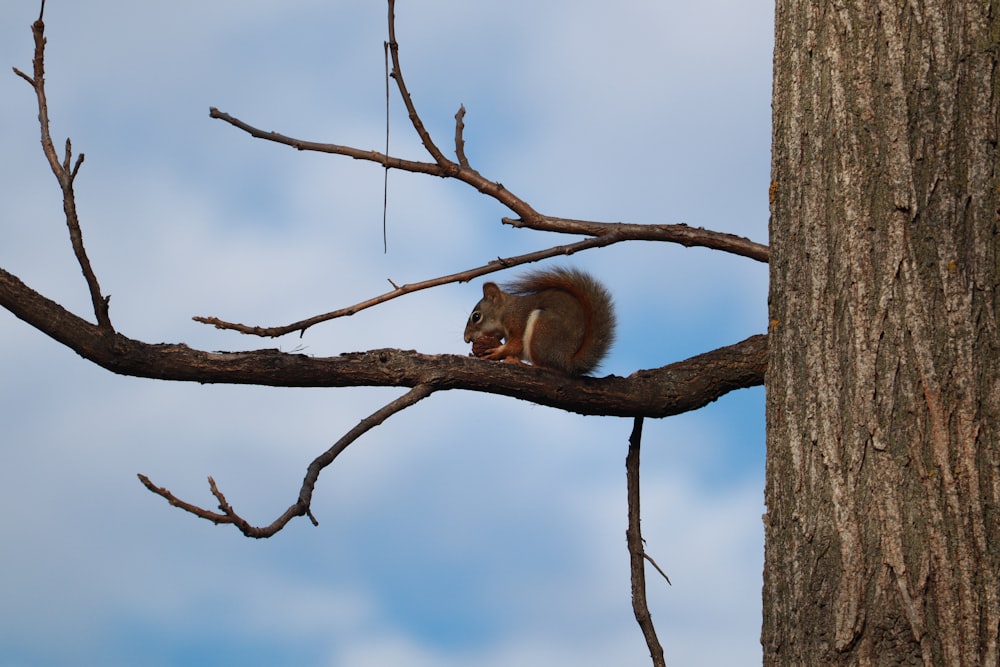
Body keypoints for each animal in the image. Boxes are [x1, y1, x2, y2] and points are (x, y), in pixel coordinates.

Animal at [462, 268, 616, 378]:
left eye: (476, 317)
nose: (467, 339)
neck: (507, 310)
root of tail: (567, 361)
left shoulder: (518, 322)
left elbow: (515, 345)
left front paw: (497, 351)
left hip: (542, 333)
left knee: (546, 368)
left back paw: (521, 364)